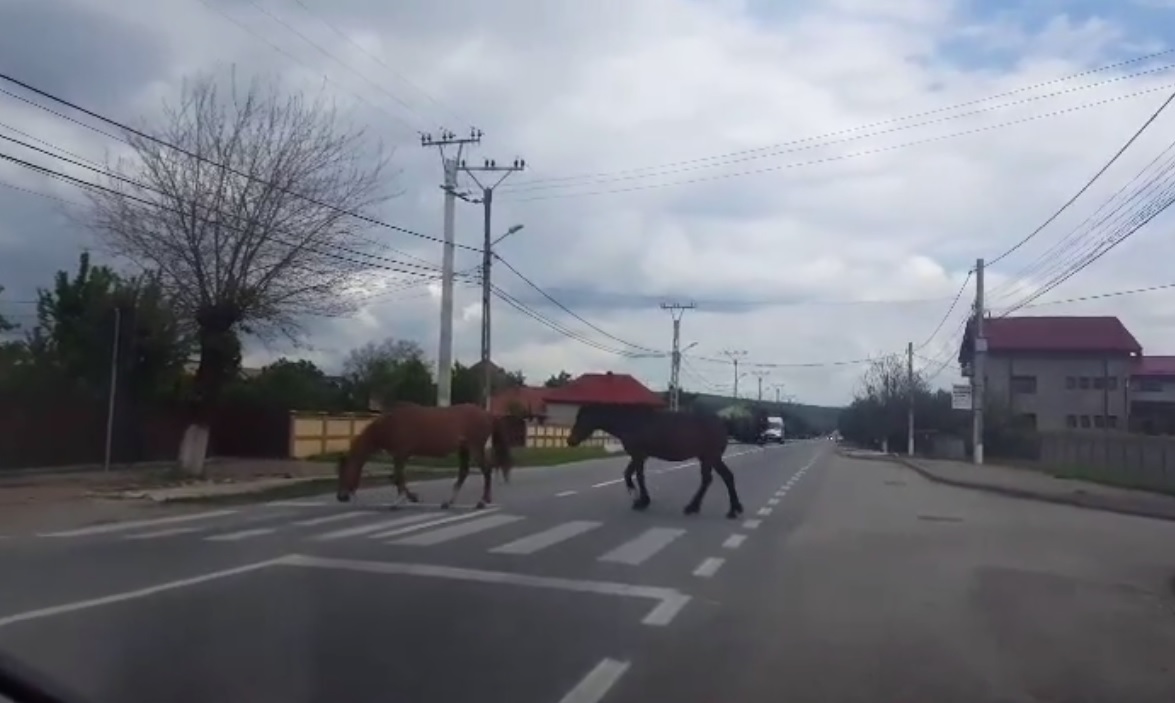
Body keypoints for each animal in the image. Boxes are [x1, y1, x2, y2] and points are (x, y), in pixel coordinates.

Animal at [335, 403, 516, 510]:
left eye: (345, 471)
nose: (341, 497)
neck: (390, 424)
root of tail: (488, 414)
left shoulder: (400, 455)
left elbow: (398, 477)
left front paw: (400, 501)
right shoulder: (400, 456)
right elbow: (397, 477)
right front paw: (411, 498)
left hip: (475, 448)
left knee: (486, 471)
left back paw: (482, 501)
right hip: (463, 449)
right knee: (463, 473)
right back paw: (448, 502)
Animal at [567, 405, 745, 519]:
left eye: (581, 417)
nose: (570, 441)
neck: (630, 422)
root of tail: (723, 423)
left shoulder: (638, 455)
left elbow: (638, 476)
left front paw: (641, 500)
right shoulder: (639, 455)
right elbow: (628, 474)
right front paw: (637, 496)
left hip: (712, 457)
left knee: (726, 477)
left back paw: (732, 510)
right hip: (705, 458)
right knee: (708, 480)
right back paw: (695, 507)